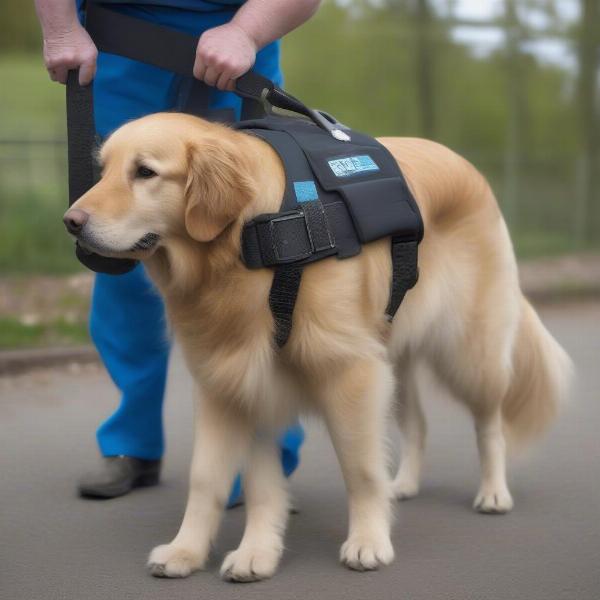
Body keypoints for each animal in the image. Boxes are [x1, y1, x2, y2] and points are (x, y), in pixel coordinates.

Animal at [64, 111, 572, 580]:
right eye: (103, 170)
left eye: (145, 172)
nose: (71, 222)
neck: (251, 240)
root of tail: (467, 167)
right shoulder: (234, 381)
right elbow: (214, 478)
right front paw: (216, 551)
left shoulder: (350, 373)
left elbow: (359, 468)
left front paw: (368, 541)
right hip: (394, 362)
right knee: (418, 425)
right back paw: (403, 484)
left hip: (470, 353)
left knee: (490, 424)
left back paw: (493, 492)